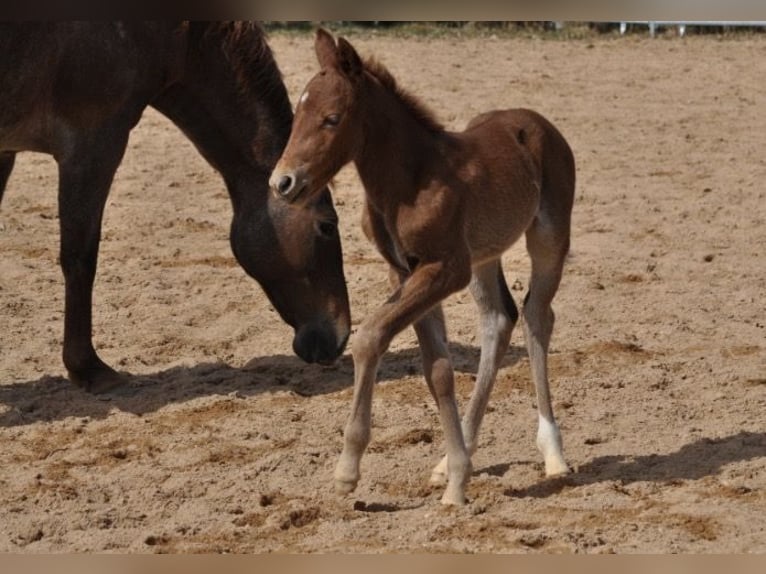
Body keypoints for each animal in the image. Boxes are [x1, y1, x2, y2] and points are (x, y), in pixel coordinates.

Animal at [0, 22, 351, 394]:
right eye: (327, 225)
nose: (341, 336)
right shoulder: (93, 147)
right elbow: (80, 260)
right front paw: (89, 369)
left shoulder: (6, 153)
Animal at [270, 29, 575, 505]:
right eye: (299, 113)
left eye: (332, 119)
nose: (282, 182)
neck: (410, 181)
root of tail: (537, 123)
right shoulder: (406, 271)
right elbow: (438, 370)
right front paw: (456, 474)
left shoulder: (445, 269)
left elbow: (371, 336)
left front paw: (348, 469)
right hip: (484, 257)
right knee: (499, 320)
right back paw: (452, 458)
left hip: (547, 239)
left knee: (536, 317)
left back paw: (553, 453)